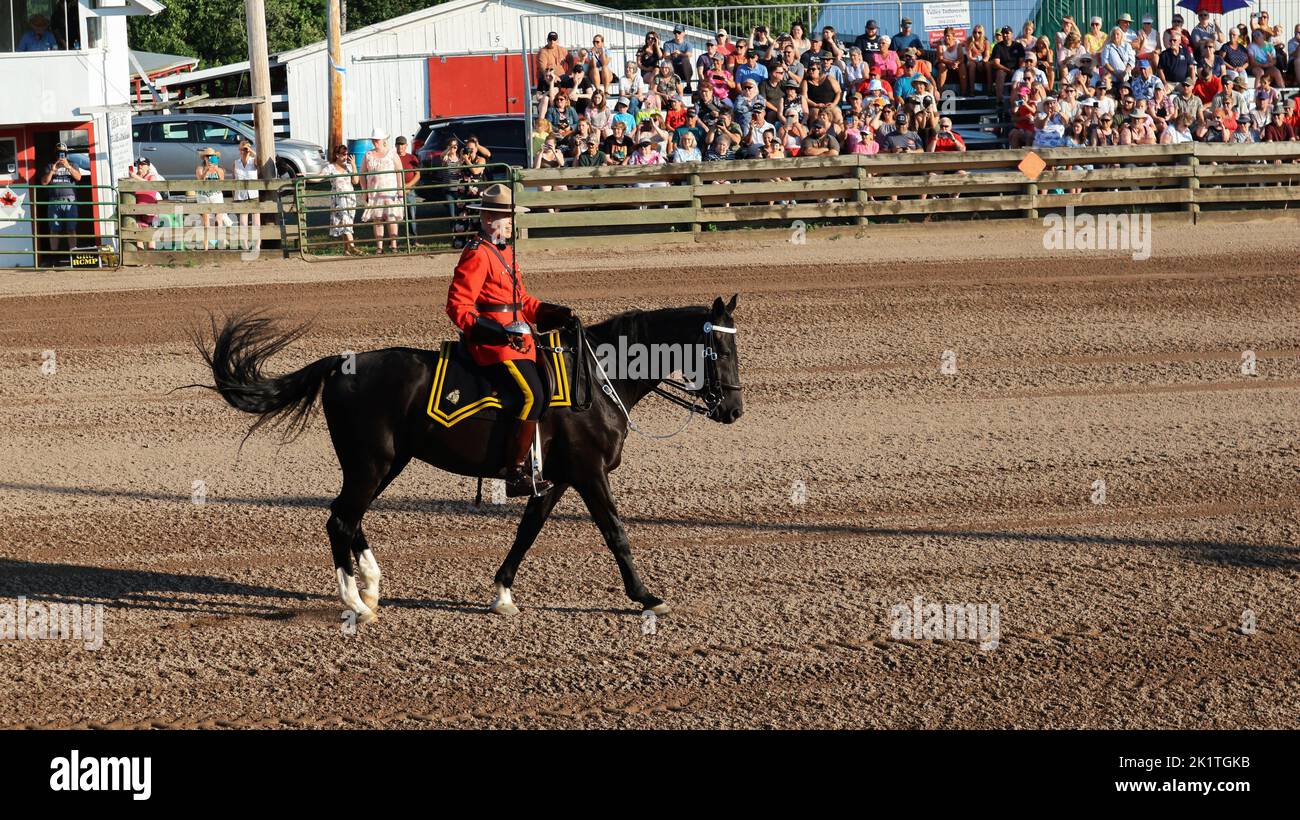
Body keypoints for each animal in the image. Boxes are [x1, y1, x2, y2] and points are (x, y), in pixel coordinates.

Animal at [195, 295, 743, 623]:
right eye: (717, 350)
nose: (734, 410)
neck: (595, 380)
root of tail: (340, 364)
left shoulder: (557, 479)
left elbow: (527, 533)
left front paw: (502, 594)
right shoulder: (589, 475)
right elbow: (616, 534)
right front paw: (646, 596)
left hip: (383, 464)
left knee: (348, 516)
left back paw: (371, 585)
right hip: (372, 464)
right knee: (340, 520)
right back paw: (356, 603)